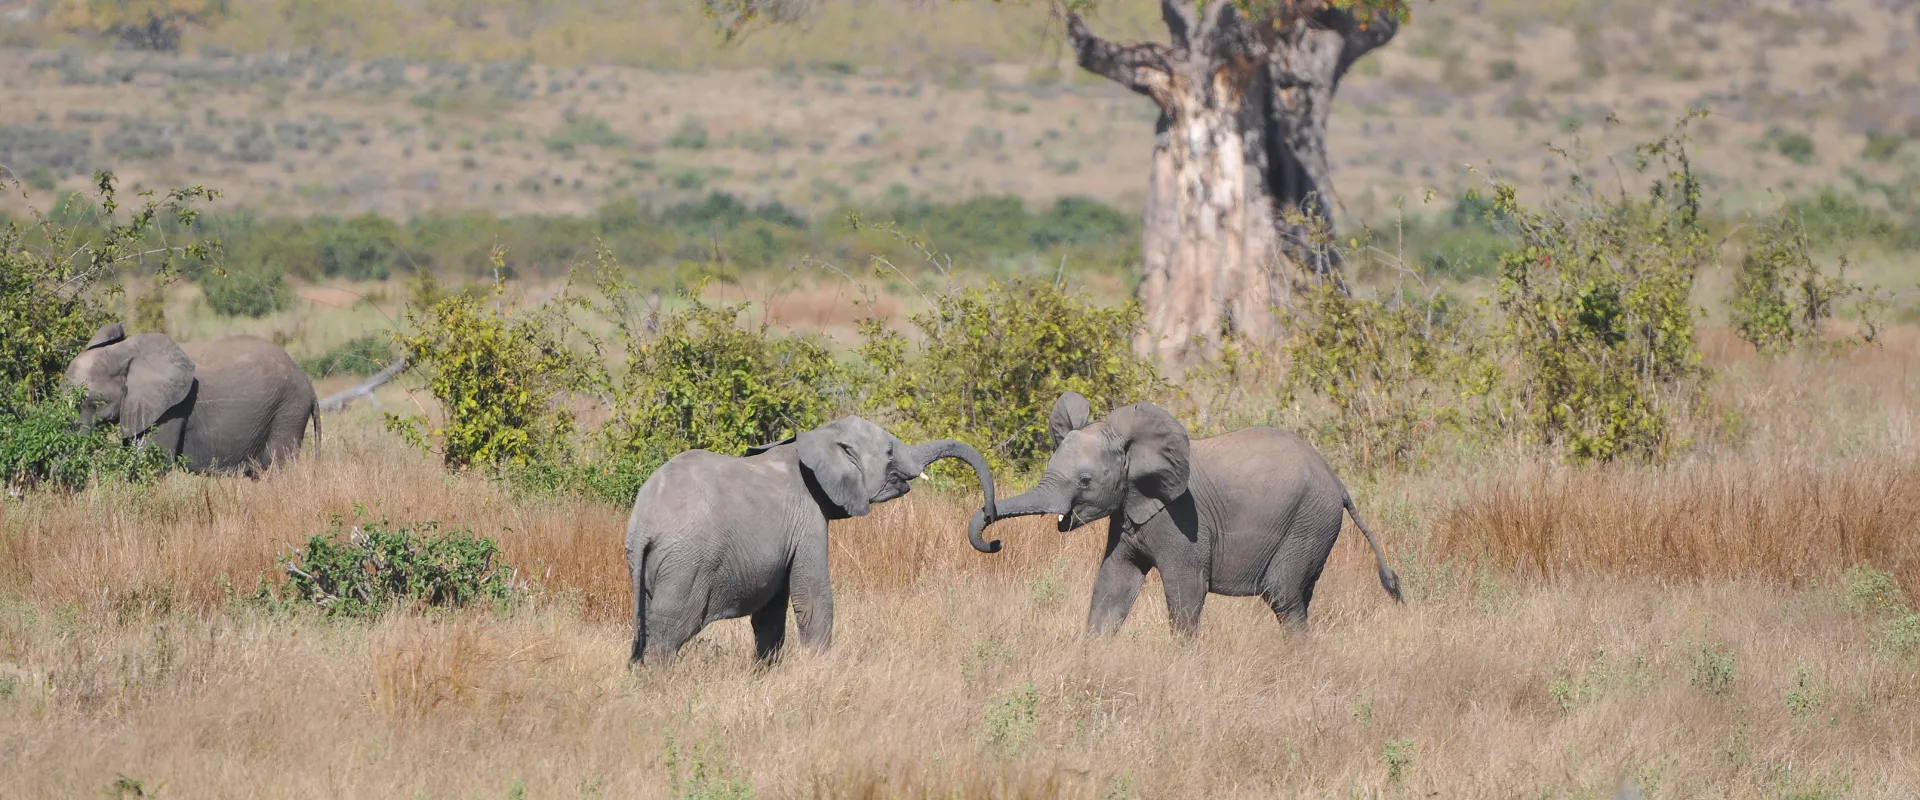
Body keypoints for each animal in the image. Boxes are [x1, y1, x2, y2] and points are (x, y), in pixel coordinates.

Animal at [62, 322, 318, 473]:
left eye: (94, 403)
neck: (123, 352)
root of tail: (308, 382)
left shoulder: (172, 408)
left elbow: (150, 462)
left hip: (288, 411)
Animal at [625, 414, 998, 663]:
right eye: (890, 451)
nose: (992, 533)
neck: (818, 437)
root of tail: (644, 522)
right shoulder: (807, 519)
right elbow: (813, 598)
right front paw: (819, 669)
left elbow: (770, 614)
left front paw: (766, 673)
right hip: (686, 565)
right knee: (671, 630)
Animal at [975, 393, 1397, 636]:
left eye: (1084, 480)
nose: (994, 541)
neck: (1135, 452)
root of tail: (1338, 482)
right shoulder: (1128, 514)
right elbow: (1113, 586)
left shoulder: (1182, 523)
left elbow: (1186, 592)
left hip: (1308, 522)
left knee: (1283, 596)